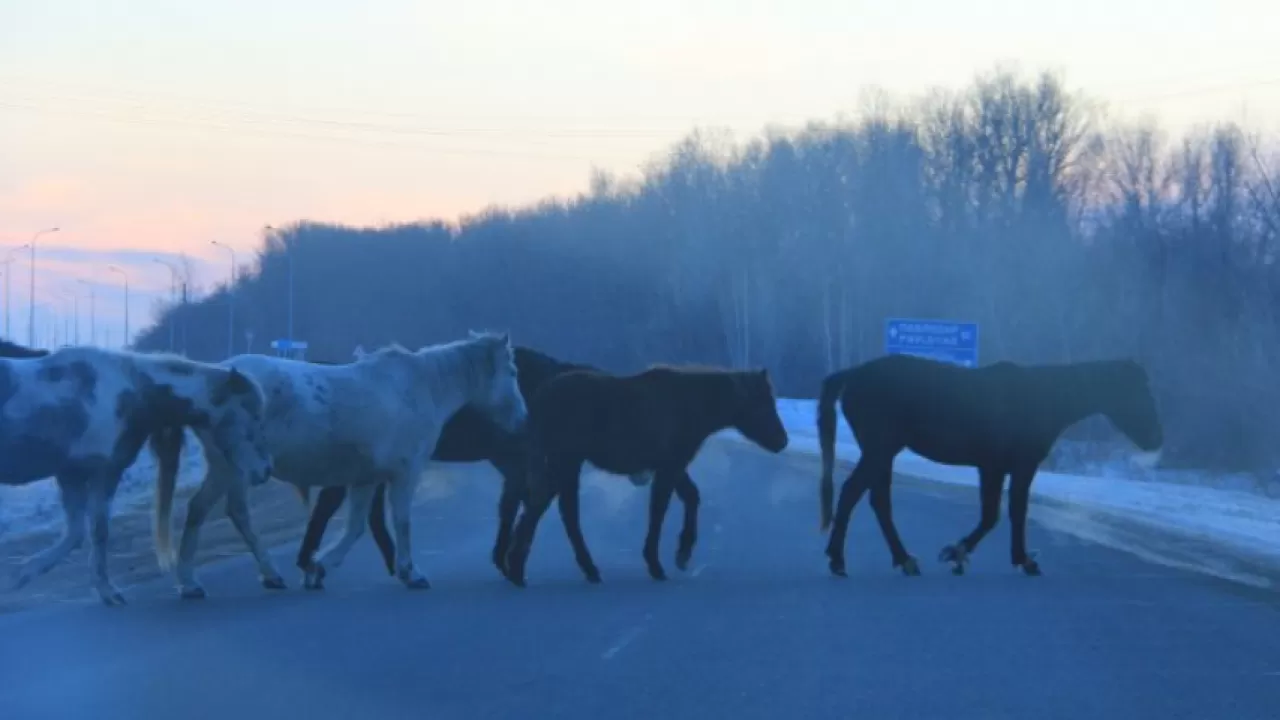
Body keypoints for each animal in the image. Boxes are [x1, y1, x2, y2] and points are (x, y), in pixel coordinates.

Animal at [1, 338, 272, 602]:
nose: (265, 470)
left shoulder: (72, 475)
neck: (131, 393)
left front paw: (22, 574)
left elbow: (76, 534)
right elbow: (99, 531)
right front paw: (107, 591)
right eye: (254, 415)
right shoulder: (103, 473)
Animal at [151, 330, 529, 594]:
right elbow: (402, 522)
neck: (419, 388)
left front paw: (318, 567)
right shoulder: (405, 474)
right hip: (234, 467)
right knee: (223, 511)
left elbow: (356, 526)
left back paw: (217, 579)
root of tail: (213, 379)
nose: (522, 418)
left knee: (209, 510)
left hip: (227, 468)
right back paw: (229, 578)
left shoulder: (366, 478)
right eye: (512, 372)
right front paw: (412, 573)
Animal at [293, 340, 660, 576]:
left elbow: (513, 504)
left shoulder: (516, 463)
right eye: (626, 414)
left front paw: (503, 555)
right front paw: (511, 558)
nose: (643, 471)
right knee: (332, 503)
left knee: (365, 512)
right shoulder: (530, 461)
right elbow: (539, 506)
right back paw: (311, 559)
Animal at [499, 361, 788, 586]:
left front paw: (681, 552)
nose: (782, 441)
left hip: (566, 464)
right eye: (762, 403)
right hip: (565, 461)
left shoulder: (673, 466)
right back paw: (527, 568)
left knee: (549, 507)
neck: (693, 405)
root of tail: (540, 398)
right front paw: (660, 562)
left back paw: (528, 567)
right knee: (556, 510)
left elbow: (691, 498)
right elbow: (659, 511)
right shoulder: (670, 466)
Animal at [814, 353, 1167, 576]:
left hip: (881, 451)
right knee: (865, 497)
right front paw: (1013, 559)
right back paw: (875, 559)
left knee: (863, 498)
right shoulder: (1017, 466)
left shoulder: (991, 467)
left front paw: (960, 553)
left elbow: (992, 514)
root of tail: (852, 375)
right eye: (1137, 391)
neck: (1043, 397)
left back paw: (862, 559)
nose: (1156, 438)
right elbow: (1008, 513)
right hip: (880, 449)